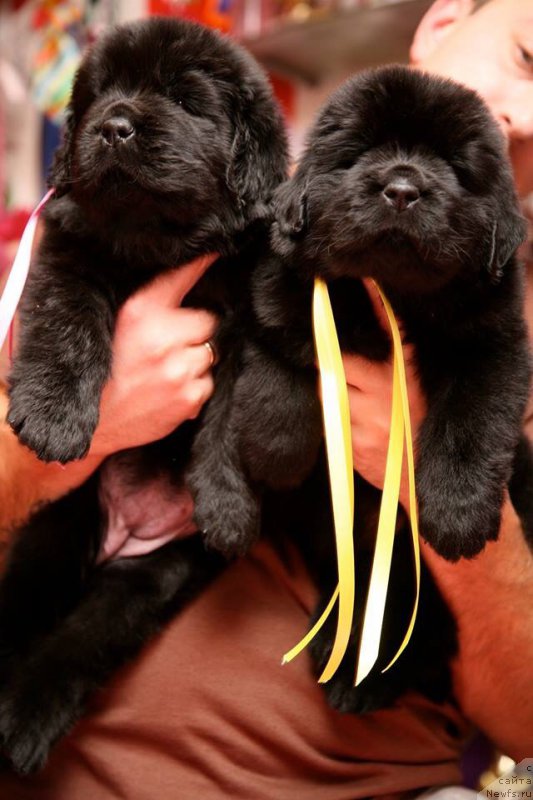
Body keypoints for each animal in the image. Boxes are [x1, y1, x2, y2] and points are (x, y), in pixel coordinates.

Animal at [0, 17, 286, 776]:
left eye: (185, 99)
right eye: (101, 95)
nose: (115, 127)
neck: (159, 244)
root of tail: (123, 532)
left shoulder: (251, 319)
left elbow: (234, 413)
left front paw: (227, 506)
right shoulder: (68, 253)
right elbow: (68, 322)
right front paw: (52, 418)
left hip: (149, 581)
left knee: (81, 644)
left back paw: (24, 721)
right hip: (52, 534)